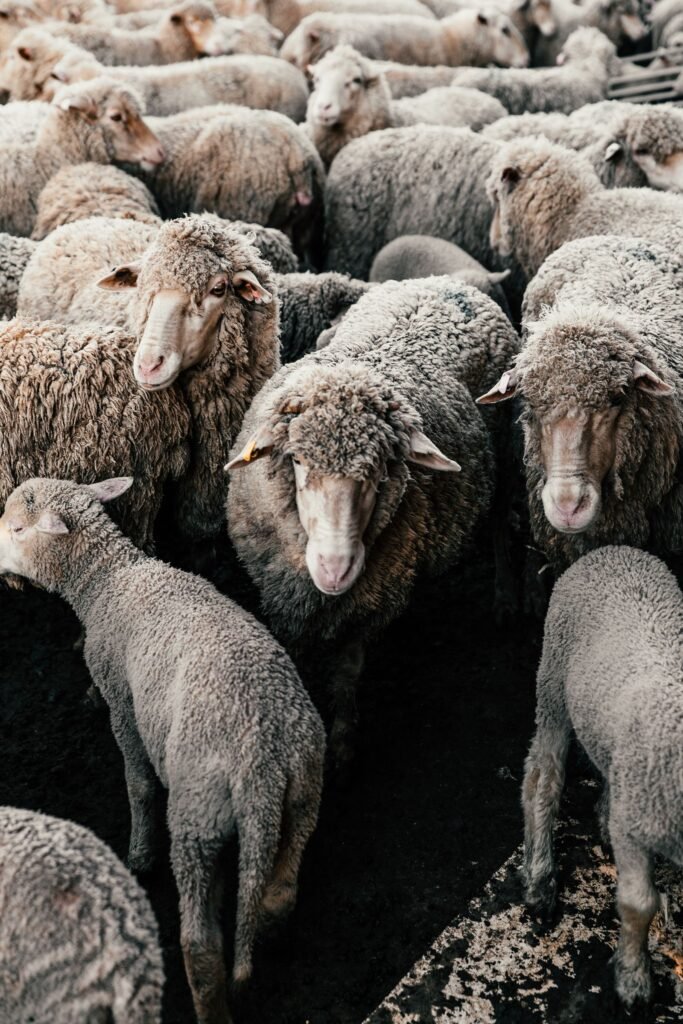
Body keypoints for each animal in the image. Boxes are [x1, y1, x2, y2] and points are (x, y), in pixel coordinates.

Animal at [226, 275, 519, 766]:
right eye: (298, 461)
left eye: (382, 469)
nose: (335, 568)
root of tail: (446, 280)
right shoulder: (283, 598)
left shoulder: (370, 601)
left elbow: (348, 669)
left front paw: (343, 741)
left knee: (503, 527)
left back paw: (506, 599)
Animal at [522, 545, 683, 1009]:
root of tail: (610, 549)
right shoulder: (634, 829)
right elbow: (638, 904)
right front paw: (633, 977)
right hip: (552, 682)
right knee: (542, 777)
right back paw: (540, 878)